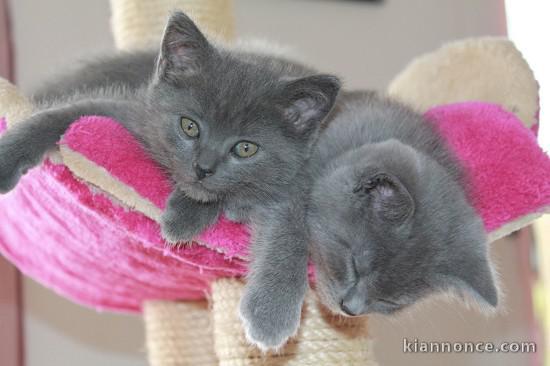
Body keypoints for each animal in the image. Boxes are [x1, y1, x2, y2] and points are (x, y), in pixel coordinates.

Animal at [0, 10, 340, 348]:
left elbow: (290, 233)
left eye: (245, 148)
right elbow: (60, 114)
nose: (203, 167)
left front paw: (272, 313)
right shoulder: (136, 113)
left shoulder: (299, 181)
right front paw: (8, 155)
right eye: (189, 126)